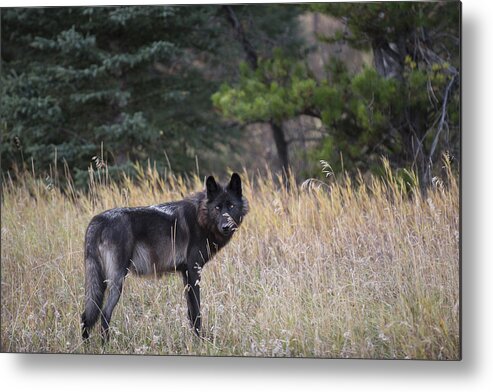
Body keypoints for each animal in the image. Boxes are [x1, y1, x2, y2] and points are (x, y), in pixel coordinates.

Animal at [83, 173, 250, 342]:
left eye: (231, 206)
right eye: (217, 208)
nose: (225, 227)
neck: (201, 218)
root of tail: (97, 221)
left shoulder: (185, 274)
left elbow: (190, 312)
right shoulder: (193, 271)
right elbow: (197, 311)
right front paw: (200, 340)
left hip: (100, 283)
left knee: (86, 316)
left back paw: (87, 344)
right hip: (117, 282)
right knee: (104, 314)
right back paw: (106, 344)